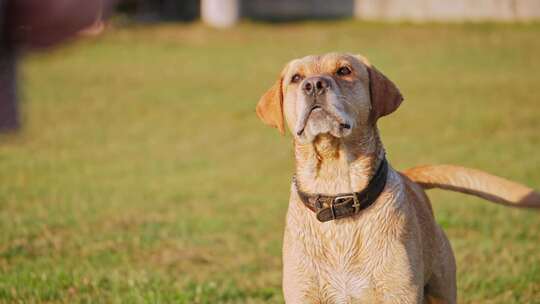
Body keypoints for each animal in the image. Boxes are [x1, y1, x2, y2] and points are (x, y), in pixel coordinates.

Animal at [254, 53, 540, 302]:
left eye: (344, 70)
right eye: (296, 77)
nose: (313, 85)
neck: (336, 189)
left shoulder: (399, 292)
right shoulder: (304, 293)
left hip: (442, 288)